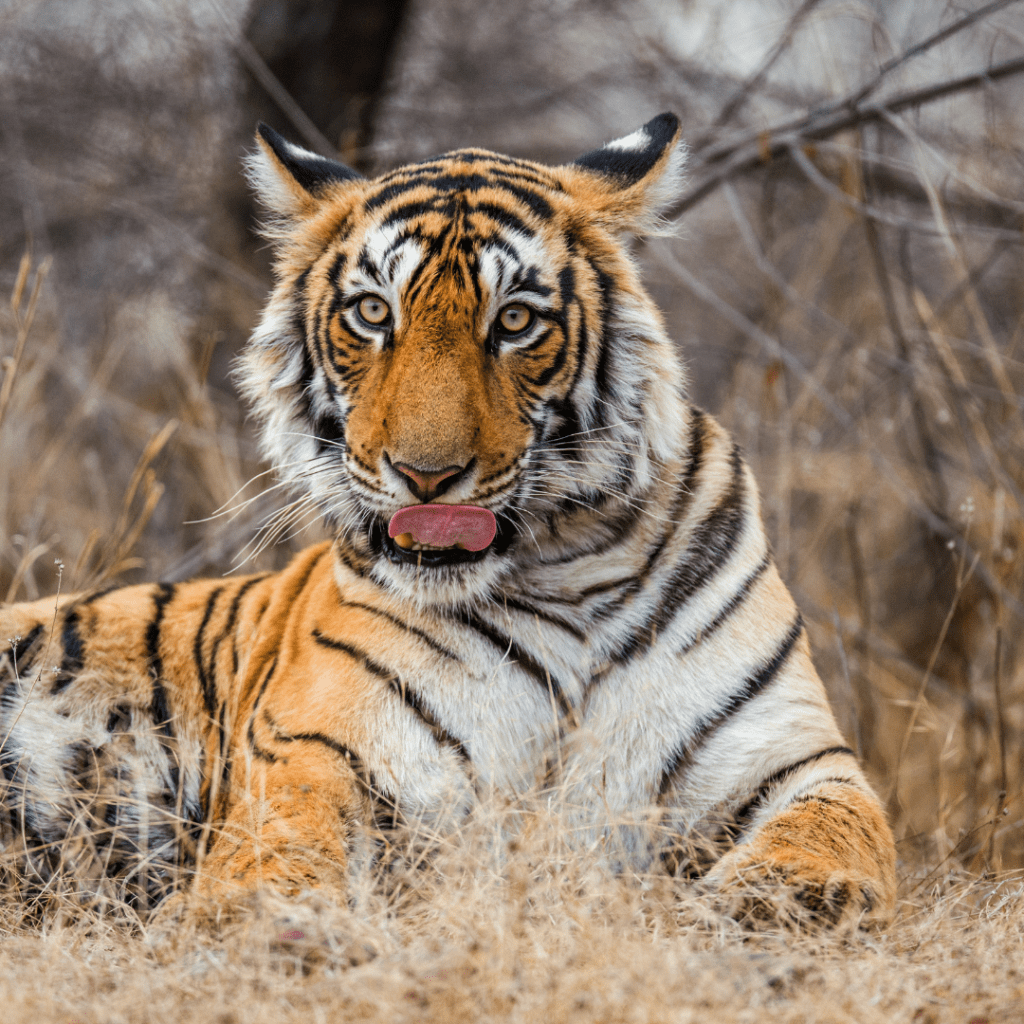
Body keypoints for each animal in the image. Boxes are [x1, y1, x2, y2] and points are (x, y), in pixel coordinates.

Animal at [0, 116, 897, 925]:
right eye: (371, 313)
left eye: (515, 320)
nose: (426, 475)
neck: (571, 570)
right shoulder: (319, 749)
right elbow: (285, 837)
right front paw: (259, 912)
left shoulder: (797, 757)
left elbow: (837, 828)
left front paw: (781, 897)